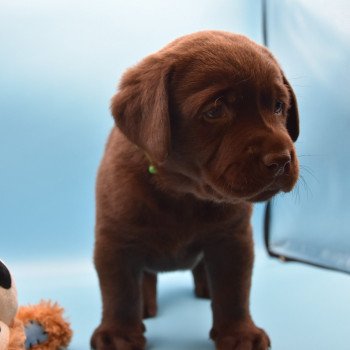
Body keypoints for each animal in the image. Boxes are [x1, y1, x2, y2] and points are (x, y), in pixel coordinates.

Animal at [91, 30, 300, 350]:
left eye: (278, 106)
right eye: (215, 110)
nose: (281, 160)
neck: (182, 192)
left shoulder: (232, 238)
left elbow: (233, 291)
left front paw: (239, 333)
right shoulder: (114, 240)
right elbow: (119, 292)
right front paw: (118, 335)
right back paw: (146, 305)